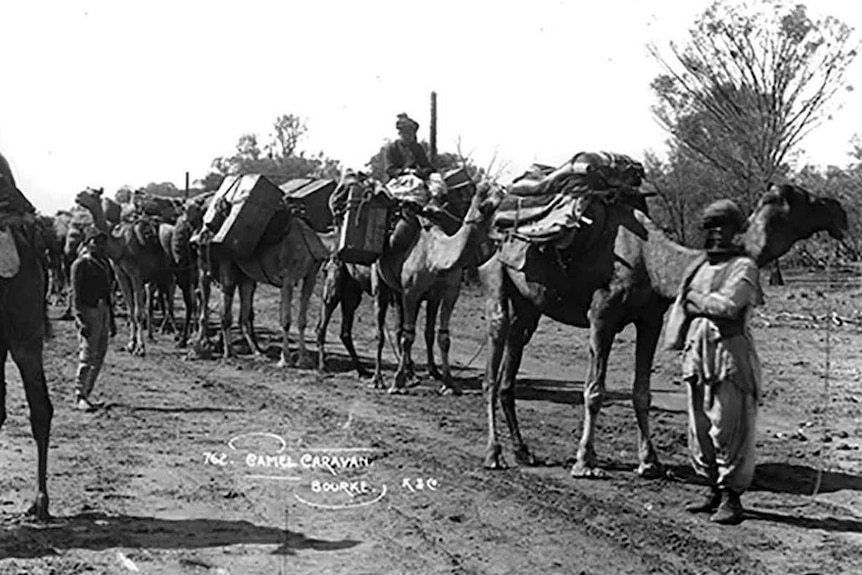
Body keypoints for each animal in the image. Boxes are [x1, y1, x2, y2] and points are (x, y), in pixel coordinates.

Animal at [372, 180, 506, 396]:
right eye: (483, 197)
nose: (502, 191)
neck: (436, 257)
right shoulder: (411, 292)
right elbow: (408, 336)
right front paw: (397, 382)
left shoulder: (450, 293)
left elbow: (443, 337)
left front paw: (449, 383)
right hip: (380, 283)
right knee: (382, 331)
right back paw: (379, 379)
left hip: (408, 294)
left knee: (410, 329)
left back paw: (417, 373)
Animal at [482, 183, 848, 476]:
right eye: (800, 197)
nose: (840, 212)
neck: (650, 259)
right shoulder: (601, 316)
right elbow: (594, 391)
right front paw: (585, 462)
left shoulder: (650, 320)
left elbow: (642, 393)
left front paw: (651, 463)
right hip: (496, 280)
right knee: (493, 368)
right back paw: (494, 455)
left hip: (529, 307)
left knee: (509, 370)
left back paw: (523, 451)